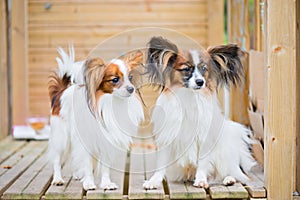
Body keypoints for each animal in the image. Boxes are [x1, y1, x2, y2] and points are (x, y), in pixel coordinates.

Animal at [48, 47, 144, 191]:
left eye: (131, 78)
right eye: (115, 79)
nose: (131, 89)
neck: (111, 103)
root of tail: (61, 91)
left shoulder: (107, 141)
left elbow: (105, 168)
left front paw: (106, 184)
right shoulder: (86, 141)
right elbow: (87, 164)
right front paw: (88, 183)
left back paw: (76, 174)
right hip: (62, 136)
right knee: (57, 158)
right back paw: (58, 179)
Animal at [143, 37, 255, 189]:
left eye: (204, 69)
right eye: (186, 69)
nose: (200, 82)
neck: (190, 96)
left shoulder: (204, 138)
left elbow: (203, 163)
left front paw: (201, 180)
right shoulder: (168, 135)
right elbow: (161, 165)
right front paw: (154, 181)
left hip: (225, 152)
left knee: (234, 173)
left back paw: (229, 179)